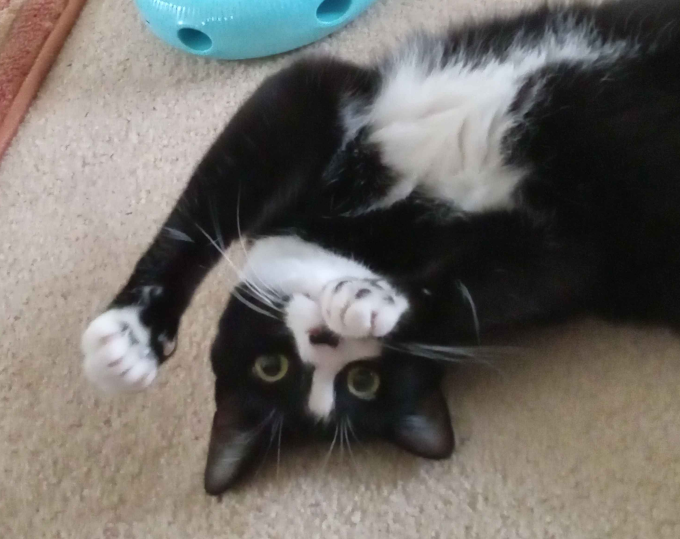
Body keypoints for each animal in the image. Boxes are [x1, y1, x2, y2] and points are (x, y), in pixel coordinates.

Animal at [81, 0, 680, 495]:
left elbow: (195, 217)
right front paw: (374, 302)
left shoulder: (311, 97)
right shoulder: (575, 248)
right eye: (273, 370)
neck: (380, 237)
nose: (325, 338)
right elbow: (515, 276)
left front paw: (130, 335)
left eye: (361, 380)